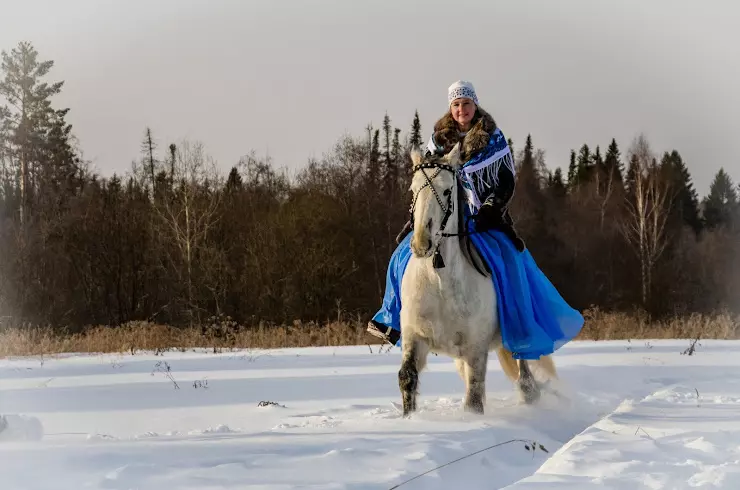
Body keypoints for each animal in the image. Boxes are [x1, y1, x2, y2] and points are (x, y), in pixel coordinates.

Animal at [398, 143, 556, 418]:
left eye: (447, 190)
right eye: (413, 188)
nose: (421, 243)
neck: (440, 283)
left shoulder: (475, 348)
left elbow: (474, 397)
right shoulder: (414, 336)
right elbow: (407, 377)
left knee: (526, 383)